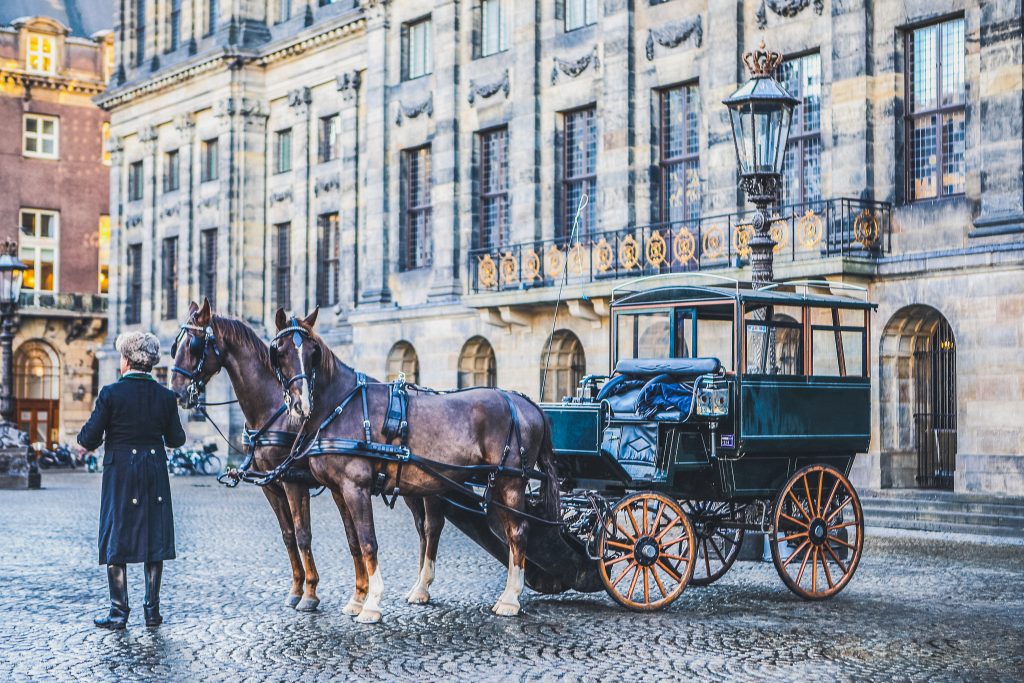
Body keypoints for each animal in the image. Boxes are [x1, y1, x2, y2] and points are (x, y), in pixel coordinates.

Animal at [270, 309, 561, 626]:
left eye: (312, 352)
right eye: (280, 351)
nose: (301, 404)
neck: (342, 405)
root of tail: (526, 402)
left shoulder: (355, 486)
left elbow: (368, 541)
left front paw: (372, 603)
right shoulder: (339, 490)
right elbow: (354, 542)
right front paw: (357, 600)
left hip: (511, 482)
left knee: (518, 531)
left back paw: (510, 599)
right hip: (495, 483)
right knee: (507, 531)